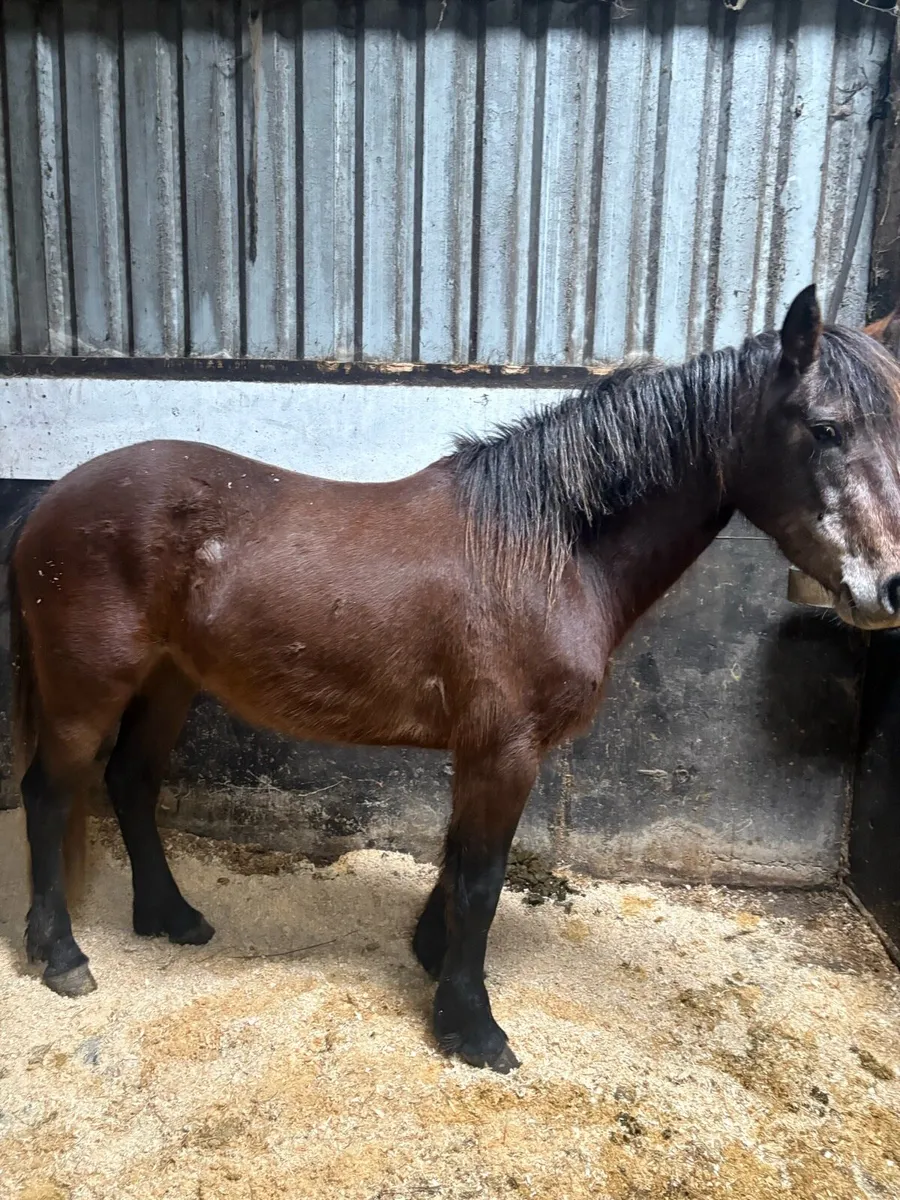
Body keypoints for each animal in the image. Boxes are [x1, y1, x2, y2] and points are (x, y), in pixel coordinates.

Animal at [8, 285, 900, 1073]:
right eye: (825, 427)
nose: (887, 588)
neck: (547, 550)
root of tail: (51, 500)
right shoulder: (504, 749)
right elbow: (481, 878)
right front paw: (471, 1027)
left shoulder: (484, 751)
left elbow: (457, 861)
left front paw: (433, 958)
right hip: (87, 688)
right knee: (50, 792)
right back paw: (61, 955)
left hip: (168, 681)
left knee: (130, 783)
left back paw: (170, 916)